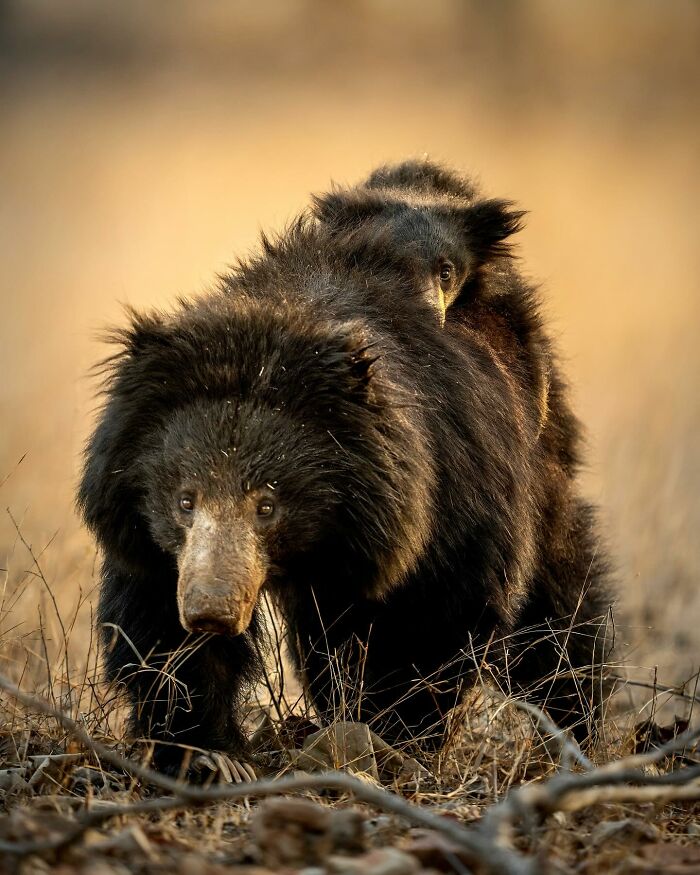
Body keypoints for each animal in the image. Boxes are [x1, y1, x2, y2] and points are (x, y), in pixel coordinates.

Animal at [78, 163, 612, 780]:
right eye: (185, 501)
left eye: (268, 505)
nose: (211, 610)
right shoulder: (148, 537)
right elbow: (156, 628)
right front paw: (208, 754)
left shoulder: (450, 492)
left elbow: (431, 616)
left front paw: (393, 735)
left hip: (541, 460)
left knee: (558, 608)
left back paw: (576, 723)